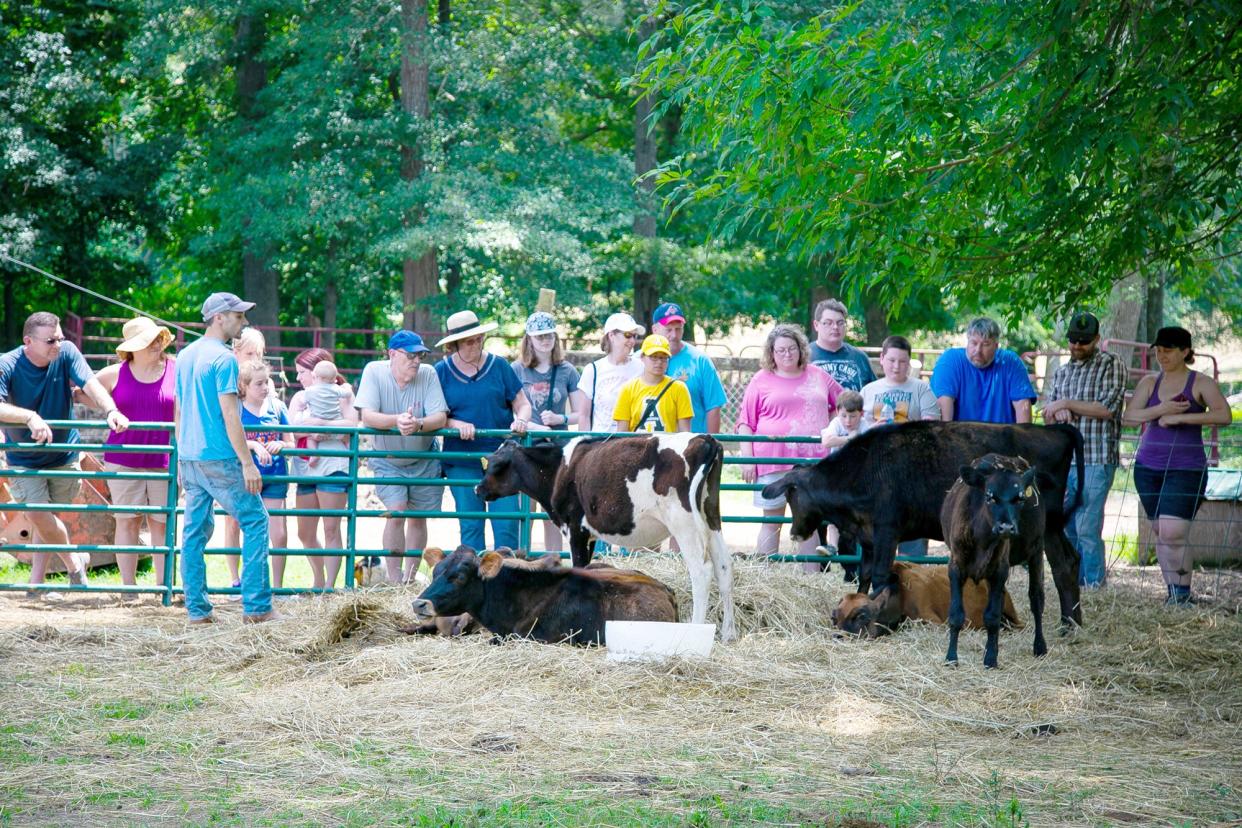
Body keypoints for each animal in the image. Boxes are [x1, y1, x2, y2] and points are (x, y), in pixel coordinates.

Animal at [469, 436, 730, 645]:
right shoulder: (590, 534)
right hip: (711, 517)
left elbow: (579, 566)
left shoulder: (575, 529)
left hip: (683, 522)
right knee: (724, 567)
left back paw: (696, 628)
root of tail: (704, 440)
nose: (477, 489)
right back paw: (729, 634)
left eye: (492, 466)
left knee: (702, 571)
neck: (558, 469)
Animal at [943, 454, 1053, 665]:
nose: (1006, 528)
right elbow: (956, 614)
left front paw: (990, 659)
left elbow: (992, 616)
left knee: (1036, 599)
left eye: (1020, 498)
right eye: (990, 496)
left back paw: (1040, 646)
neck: (982, 540)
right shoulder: (956, 567)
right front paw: (951, 657)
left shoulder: (1000, 569)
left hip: (1037, 550)